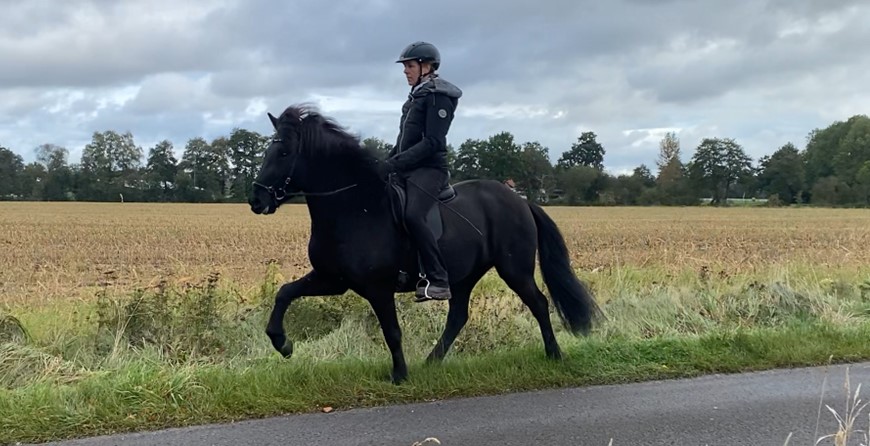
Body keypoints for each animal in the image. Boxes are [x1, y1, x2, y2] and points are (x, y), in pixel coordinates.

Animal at [248, 104, 603, 384]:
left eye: (283, 152)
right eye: (267, 151)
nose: (256, 199)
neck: (355, 207)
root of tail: (520, 200)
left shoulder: (377, 287)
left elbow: (391, 331)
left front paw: (399, 375)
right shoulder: (332, 279)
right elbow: (285, 293)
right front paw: (282, 344)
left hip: (514, 269)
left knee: (539, 304)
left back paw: (554, 354)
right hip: (463, 276)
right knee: (458, 316)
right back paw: (432, 361)